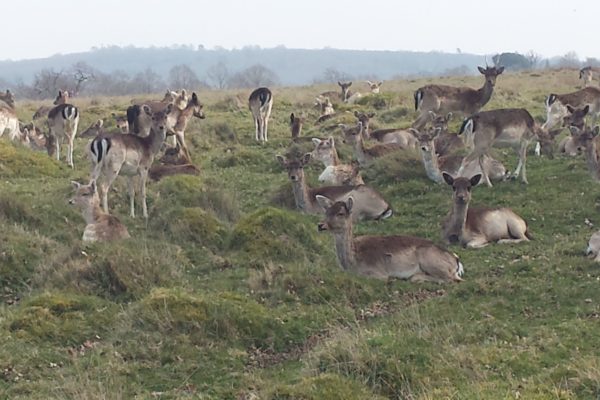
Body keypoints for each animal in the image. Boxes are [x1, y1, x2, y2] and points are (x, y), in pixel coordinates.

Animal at [316, 195, 466, 282]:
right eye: (326, 212)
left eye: (340, 213)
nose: (320, 225)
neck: (352, 263)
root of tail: (456, 258)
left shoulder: (378, 274)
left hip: (430, 260)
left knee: (455, 280)